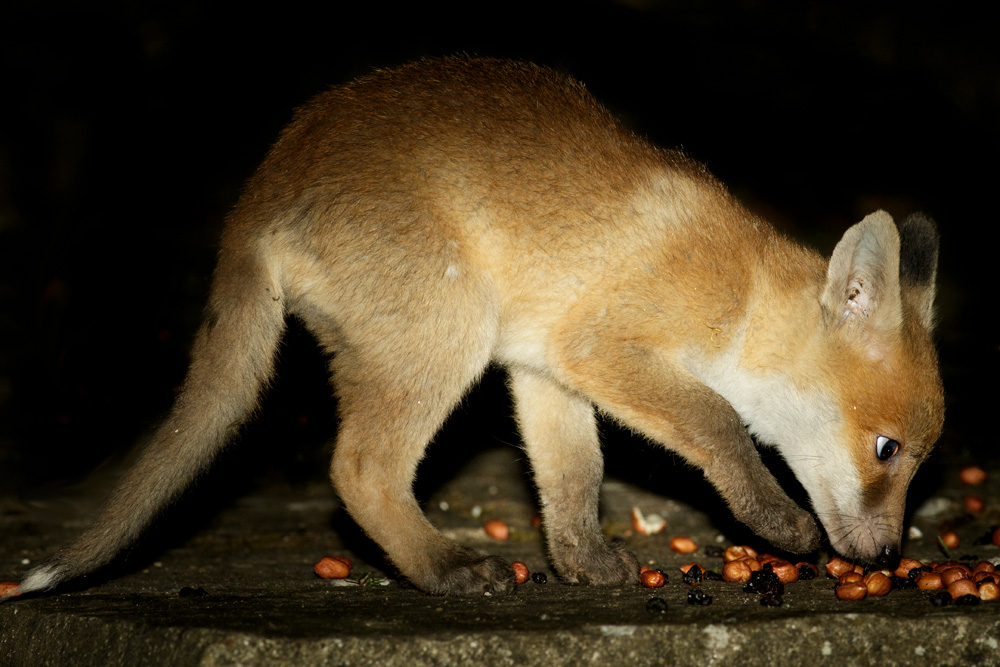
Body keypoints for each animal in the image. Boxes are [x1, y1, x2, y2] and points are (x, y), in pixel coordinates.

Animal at [5, 56, 943, 599]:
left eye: (914, 458)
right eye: (888, 449)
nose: (887, 557)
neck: (739, 299)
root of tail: (263, 185)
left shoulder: (545, 368)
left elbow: (574, 477)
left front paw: (582, 563)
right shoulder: (603, 343)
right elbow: (717, 422)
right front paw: (776, 520)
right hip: (446, 335)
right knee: (358, 470)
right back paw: (445, 569)